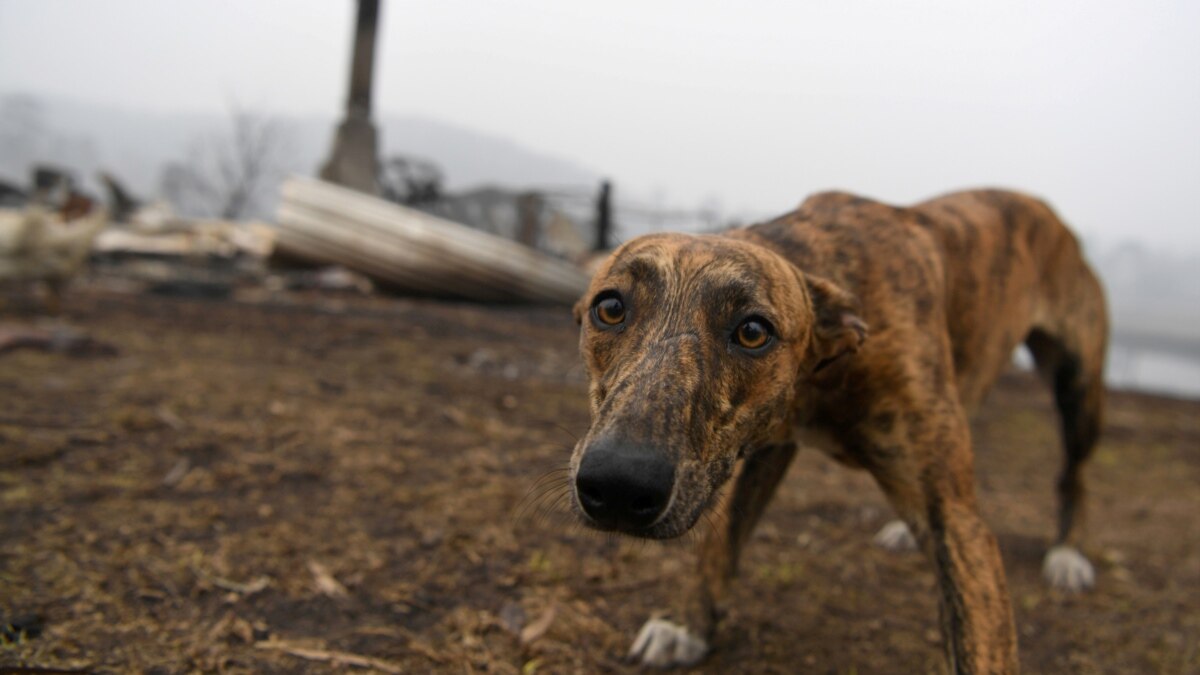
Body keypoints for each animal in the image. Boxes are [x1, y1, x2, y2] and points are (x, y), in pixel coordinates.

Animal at [568, 189, 1104, 672]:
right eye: (610, 307)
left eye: (753, 331)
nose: (618, 487)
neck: (826, 368)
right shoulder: (767, 446)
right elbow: (723, 542)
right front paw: (688, 627)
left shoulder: (958, 522)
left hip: (1079, 393)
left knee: (1074, 474)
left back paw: (1067, 554)